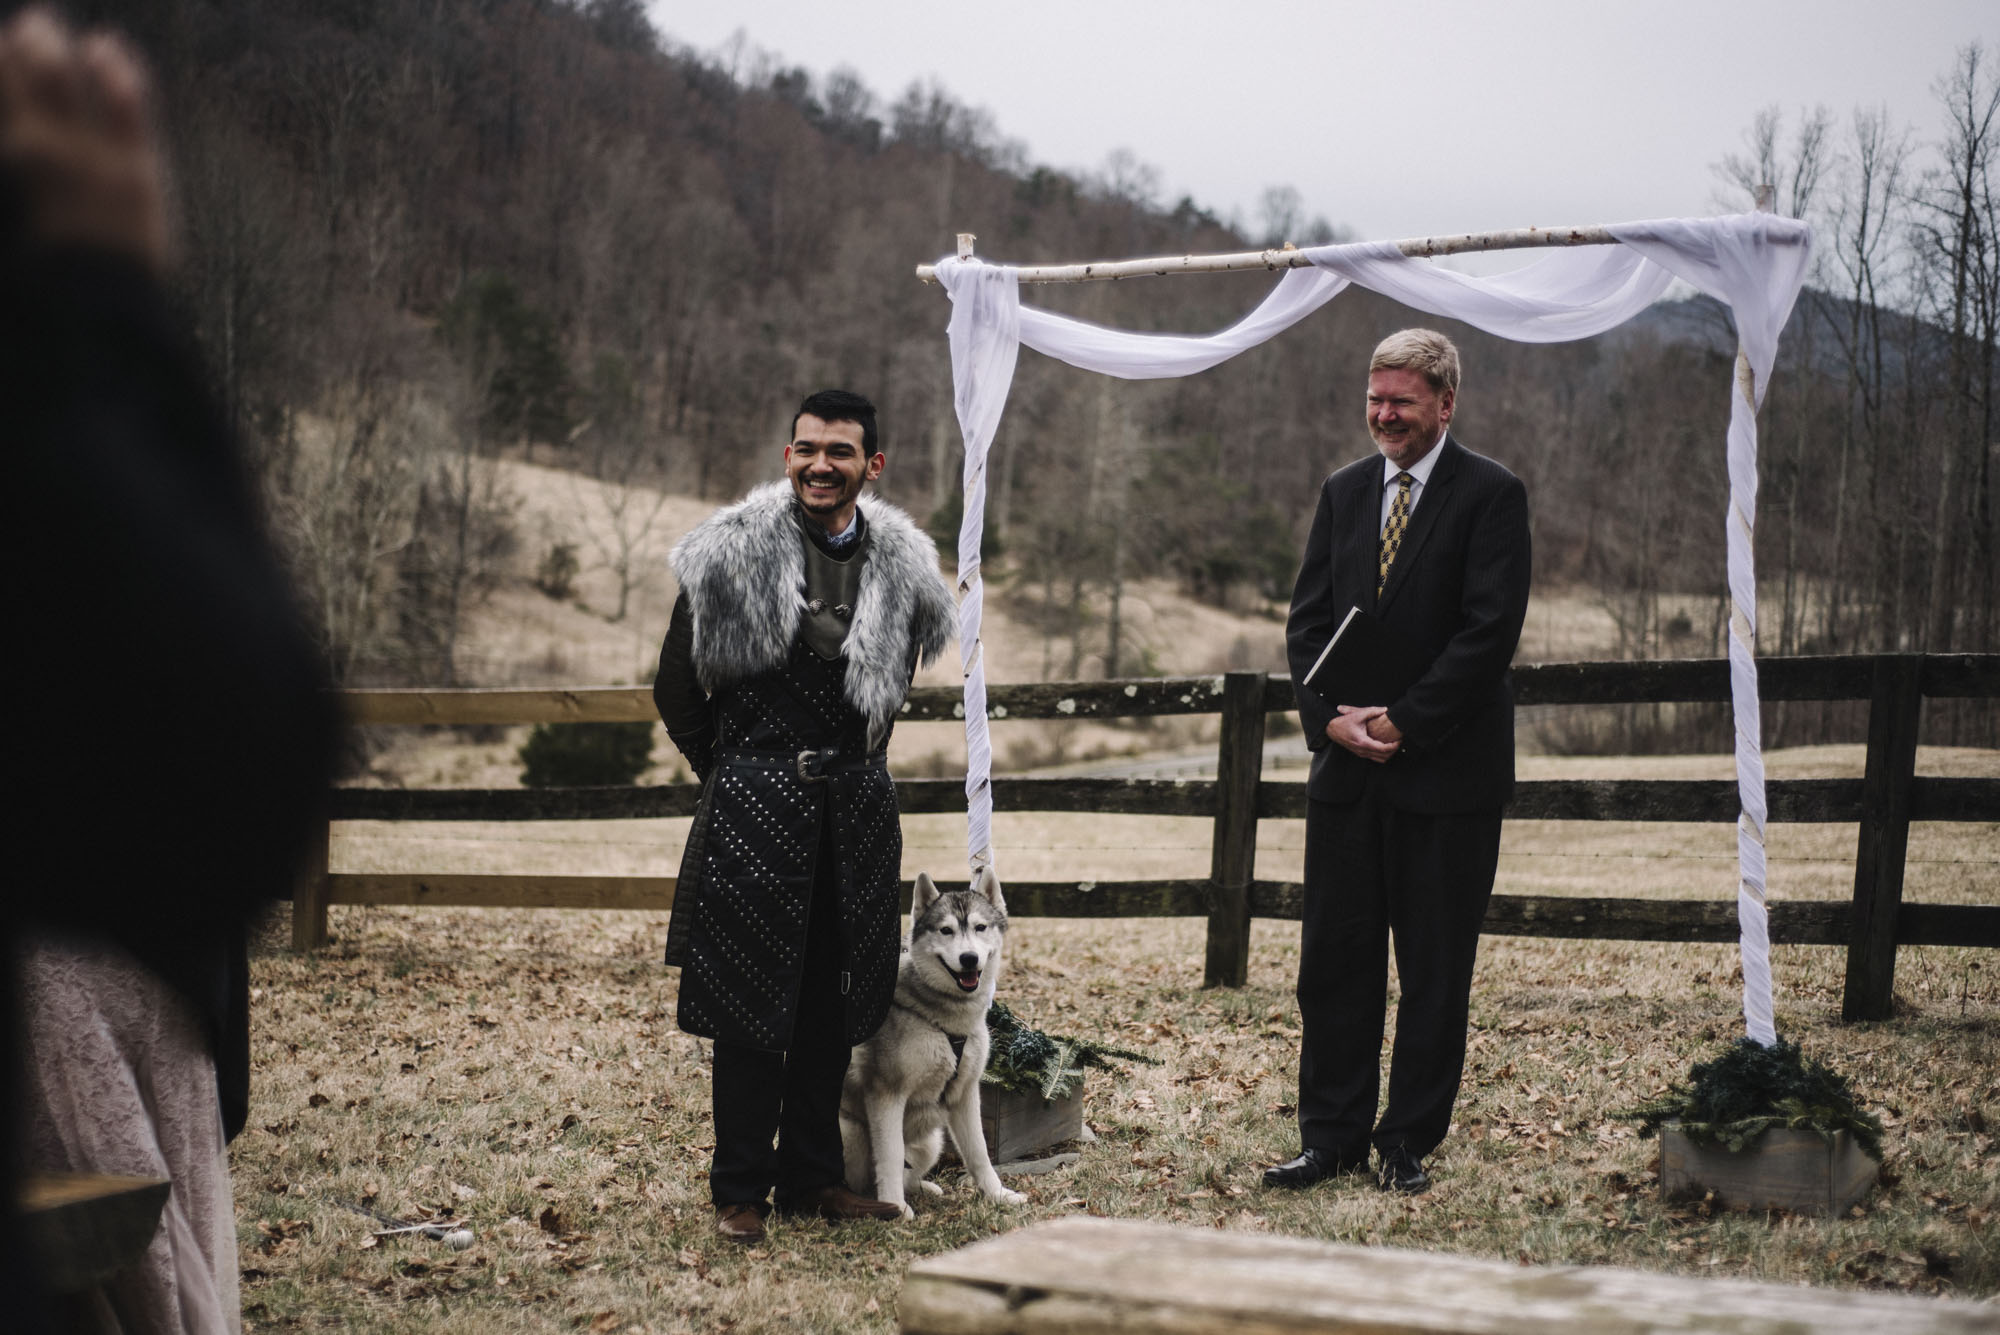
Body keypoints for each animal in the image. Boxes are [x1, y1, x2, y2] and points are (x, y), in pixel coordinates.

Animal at [844, 867, 1032, 1223]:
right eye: (946, 930)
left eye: (980, 927)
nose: (969, 958)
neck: (947, 1020)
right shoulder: (886, 1095)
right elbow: (890, 1157)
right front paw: (896, 1207)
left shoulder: (966, 1094)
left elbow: (979, 1153)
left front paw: (998, 1195)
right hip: (852, 1134)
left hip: (931, 1142)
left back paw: (924, 1187)